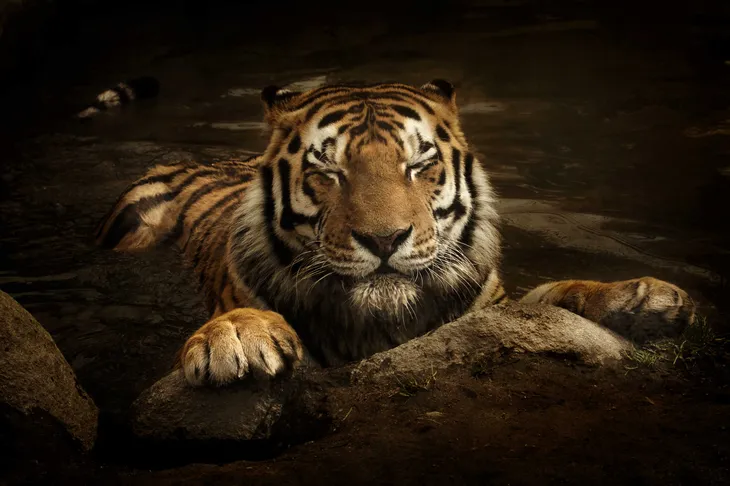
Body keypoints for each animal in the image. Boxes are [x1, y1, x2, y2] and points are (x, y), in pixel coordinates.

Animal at [94, 78, 696, 387]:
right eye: (328, 170)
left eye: (418, 164)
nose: (384, 241)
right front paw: (235, 337)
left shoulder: (498, 304)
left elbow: (558, 295)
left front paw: (646, 298)